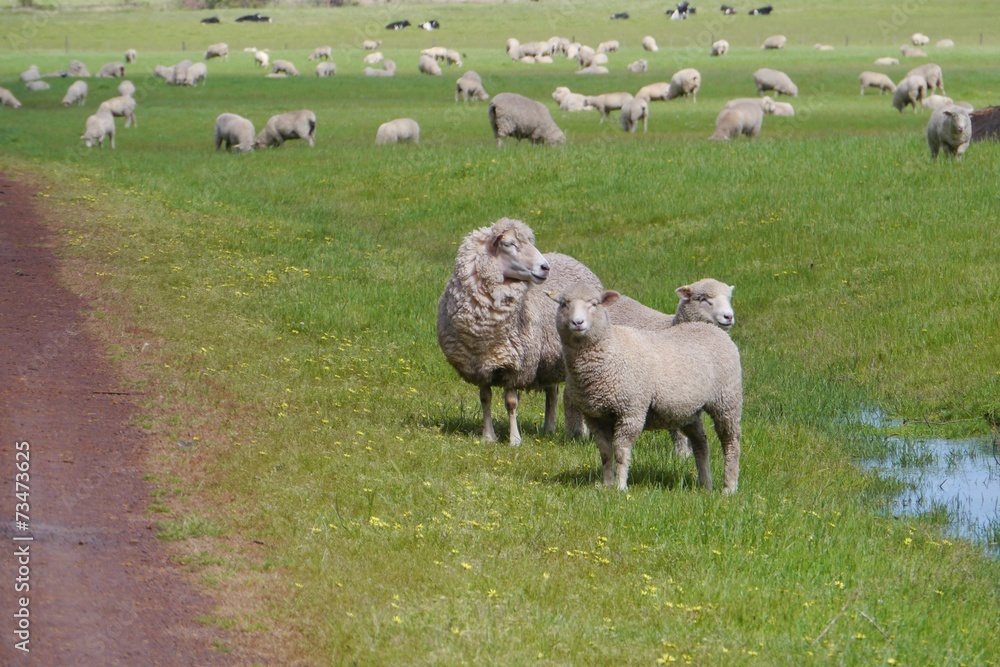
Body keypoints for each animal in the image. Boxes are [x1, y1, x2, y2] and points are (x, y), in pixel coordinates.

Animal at [436, 218, 603, 446]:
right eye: (509, 244)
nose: (545, 267)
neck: (484, 333)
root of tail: (569, 258)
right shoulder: (480, 365)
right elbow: (485, 398)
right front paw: (488, 436)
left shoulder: (515, 365)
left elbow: (511, 402)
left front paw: (514, 440)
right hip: (548, 358)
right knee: (552, 392)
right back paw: (548, 429)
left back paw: (583, 432)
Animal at [552, 283, 743, 493]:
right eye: (564, 304)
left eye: (594, 304)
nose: (578, 323)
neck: (611, 351)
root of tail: (711, 328)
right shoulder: (594, 416)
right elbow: (605, 453)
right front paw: (607, 485)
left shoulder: (631, 411)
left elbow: (621, 452)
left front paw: (620, 487)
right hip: (687, 411)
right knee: (701, 442)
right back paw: (706, 484)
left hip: (727, 400)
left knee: (731, 443)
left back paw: (729, 488)